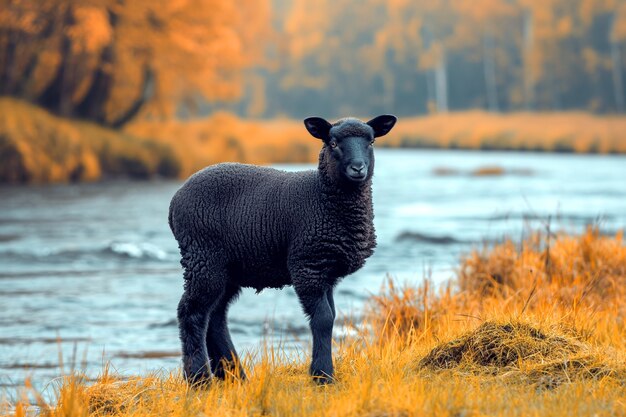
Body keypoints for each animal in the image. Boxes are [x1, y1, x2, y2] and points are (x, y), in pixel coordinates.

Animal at [168, 114, 394, 384]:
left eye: (371, 141)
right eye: (333, 143)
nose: (358, 168)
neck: (322, 197)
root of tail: (175, 200)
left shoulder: (326, 271)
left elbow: (331, 316)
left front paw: (322, 373)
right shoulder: (307, 266)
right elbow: (323, 319)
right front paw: (322, 375)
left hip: (226, 268)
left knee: (215, 318)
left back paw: (234, 376)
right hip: (203, 257)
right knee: (191, 313)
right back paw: (200, 379)